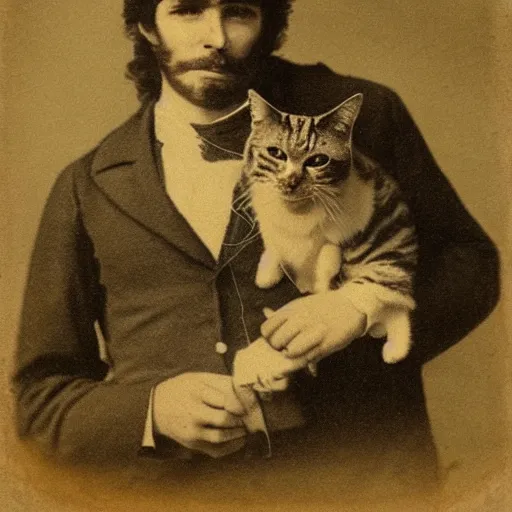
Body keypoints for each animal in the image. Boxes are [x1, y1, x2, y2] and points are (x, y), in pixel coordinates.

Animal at [244, 92, 420, 364]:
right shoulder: (269, 222)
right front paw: (267, 274)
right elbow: (274, 245)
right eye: (276, 153)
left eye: (318, 160)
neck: (294, 211)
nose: (292, 181)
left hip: (384, 261)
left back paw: (394, 348)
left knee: (395, 306)